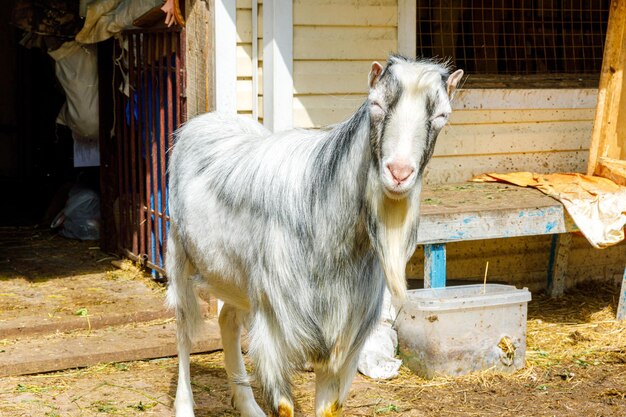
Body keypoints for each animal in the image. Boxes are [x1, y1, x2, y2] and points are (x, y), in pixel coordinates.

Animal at [166, 56, 464, 416]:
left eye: (442, 115)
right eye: (376, 105)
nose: (399, 173)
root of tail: (205, 120)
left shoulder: (342, 339)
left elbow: (329, 407)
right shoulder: (277, 326)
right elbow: (284, 407)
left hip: (238, 280)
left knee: (227, 319)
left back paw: (248, 405)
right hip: (179, 254)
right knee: (183, 331)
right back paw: (184, 404)